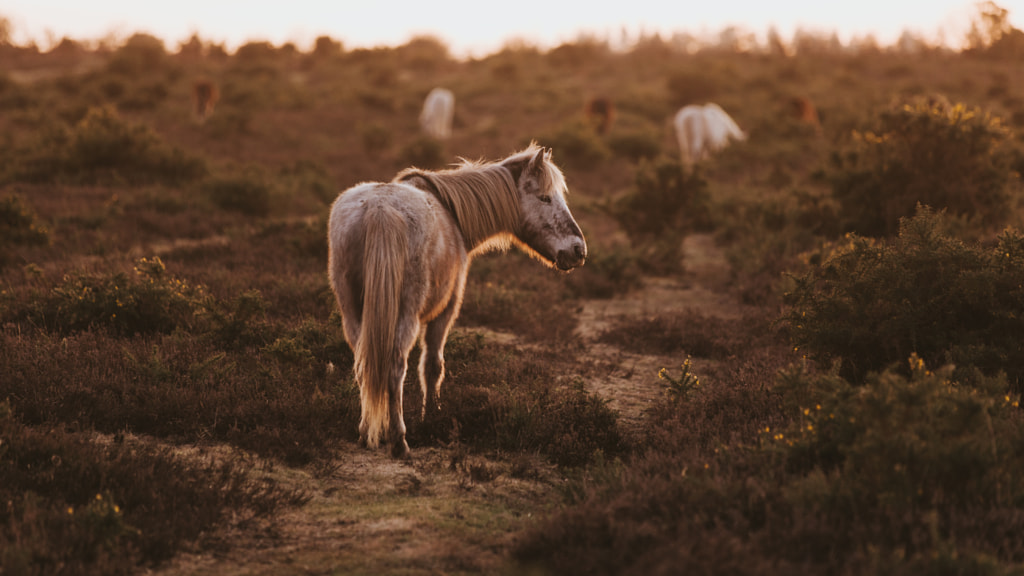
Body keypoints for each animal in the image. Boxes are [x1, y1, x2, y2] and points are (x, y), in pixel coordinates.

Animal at [327, 143, 585, 457]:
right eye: (545, 197)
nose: (578, 250)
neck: (452, 215)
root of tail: (380, 210)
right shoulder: (446, 310)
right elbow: (433, 365)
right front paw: (432, 415)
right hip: (405, 316)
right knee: (395, 366)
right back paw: (399, 440)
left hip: (353, 314)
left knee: (364, 364)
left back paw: (366, 432)